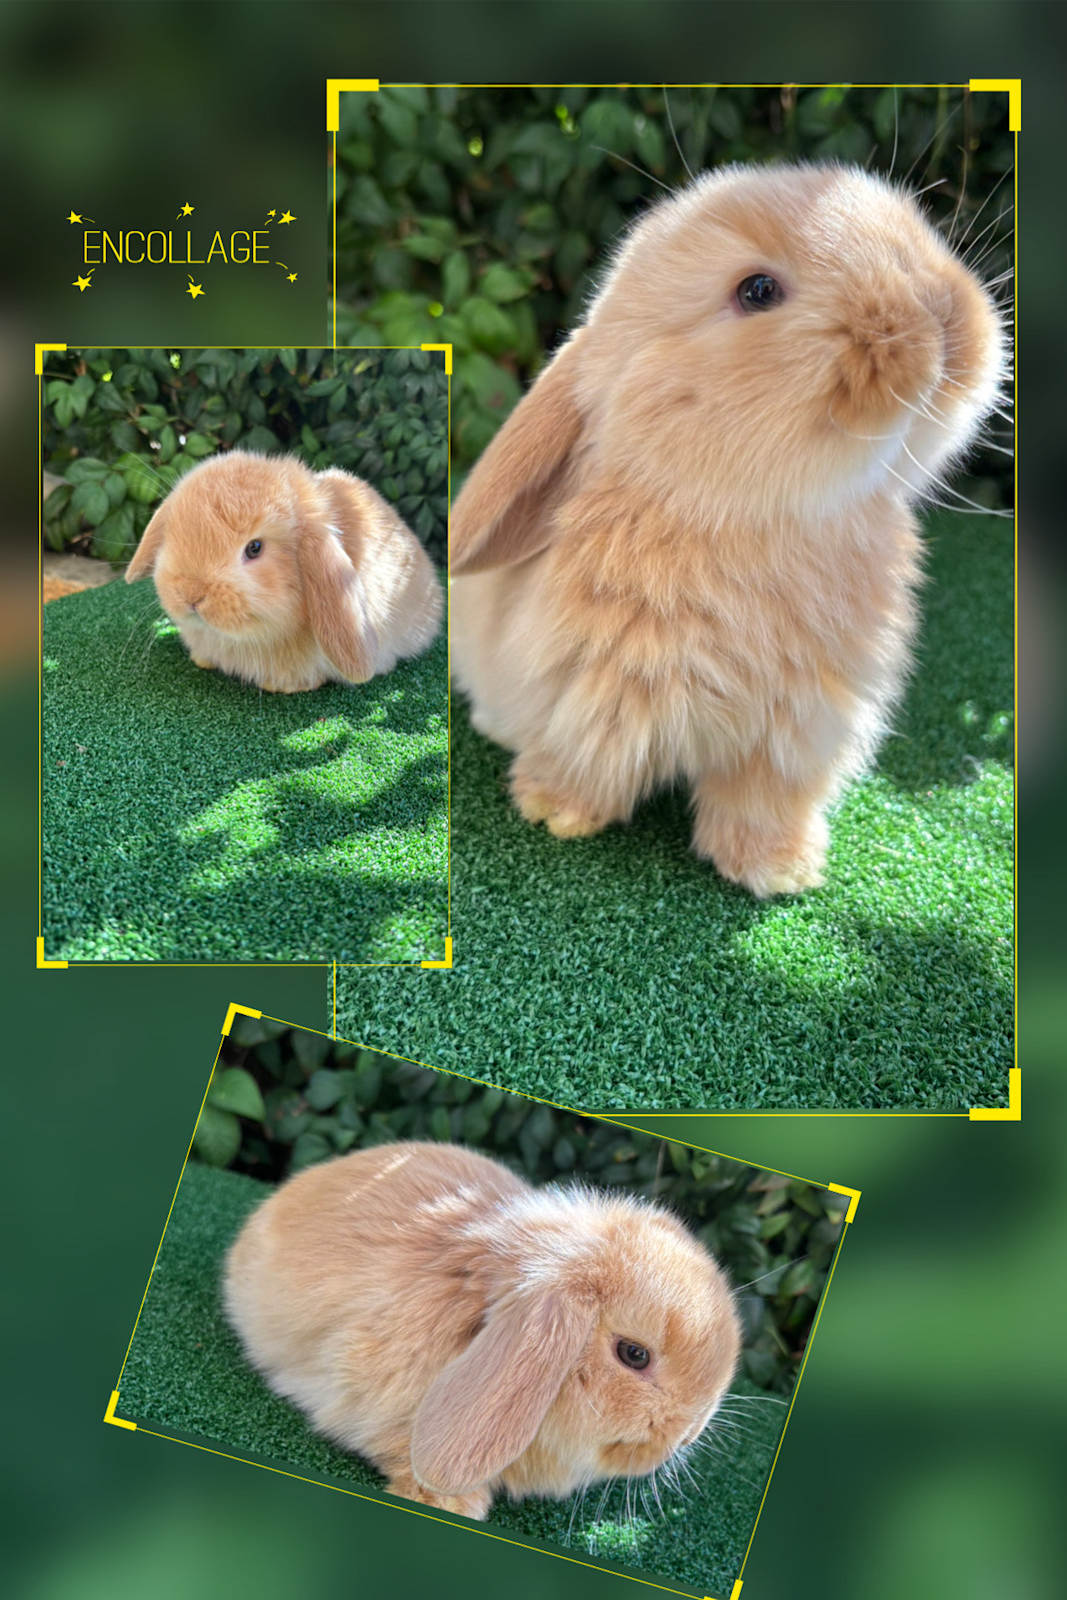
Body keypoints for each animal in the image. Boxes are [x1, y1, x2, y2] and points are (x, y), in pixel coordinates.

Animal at [450, 162, 1007, 896]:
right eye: (757, 291)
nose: (946, 313)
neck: (745, 520)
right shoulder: (590, 698)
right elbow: (583, 763)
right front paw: (555, 812)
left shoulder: (794, 732)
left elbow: (760, 802)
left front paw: (778, 870)